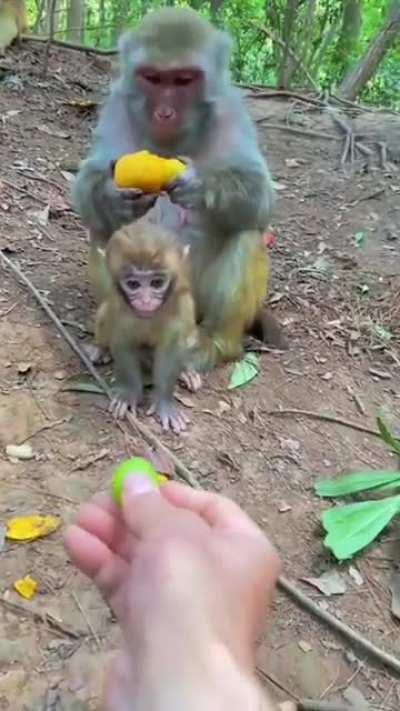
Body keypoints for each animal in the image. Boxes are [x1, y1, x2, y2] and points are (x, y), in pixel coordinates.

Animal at [73, 7, 287, 371]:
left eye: (183, 80)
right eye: (153, 78)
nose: (165, 112)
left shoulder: (231, 111)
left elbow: (261, 196)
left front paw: (201, 183)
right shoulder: (117, 105)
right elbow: (88, 181)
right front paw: (113, 197)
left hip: (190, 305)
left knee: (245, 234)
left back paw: (215, 344)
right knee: (104, 230)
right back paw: (110, 336)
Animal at [93, 211, 200, 433]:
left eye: (157, 283)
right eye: (133, 284)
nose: (145, 300)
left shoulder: (179, 305)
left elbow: (171, 347)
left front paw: (165, 403)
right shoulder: (119, 307)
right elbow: (122, 341)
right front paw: (128, 393)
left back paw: (186, 370)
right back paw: (102, 349)